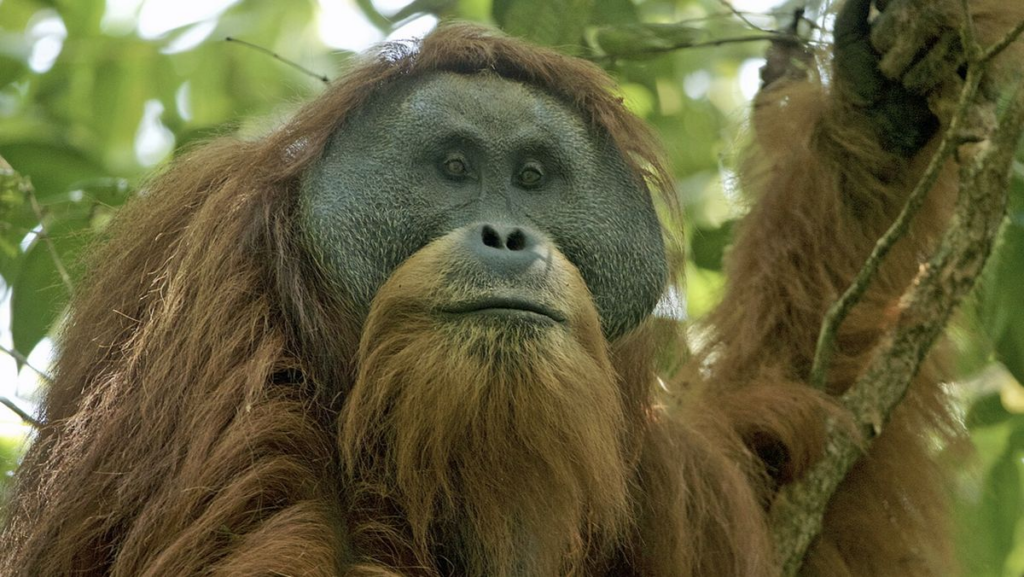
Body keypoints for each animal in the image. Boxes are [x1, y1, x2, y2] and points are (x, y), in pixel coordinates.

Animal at [1, 0, 1021, 575]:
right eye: (454, 167)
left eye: (532, 176)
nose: (506, 233)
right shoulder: (208, 298)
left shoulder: (654, 472)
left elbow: (786, 472)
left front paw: (882, 103)